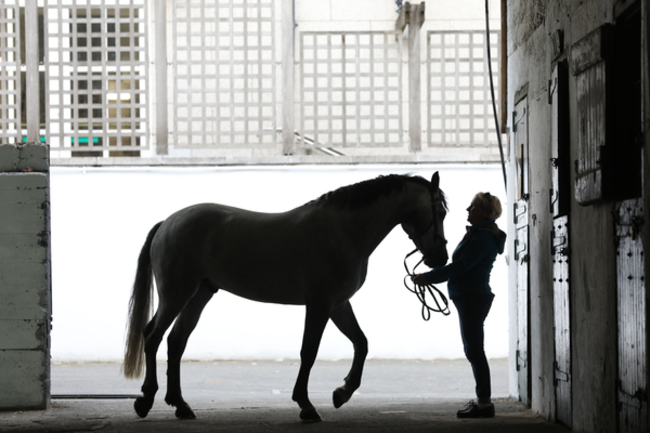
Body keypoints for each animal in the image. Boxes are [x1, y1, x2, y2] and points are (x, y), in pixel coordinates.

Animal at [123, 172, 448, 422]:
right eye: (441, 212)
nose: (440, 258)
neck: (343, 231)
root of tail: (168, 222)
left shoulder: (338, 304)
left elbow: (361, 343)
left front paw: (342, 393)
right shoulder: (319, 304)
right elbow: (309, 352)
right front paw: (307, 406)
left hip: (198, 295)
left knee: (176, 342)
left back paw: (180, 405)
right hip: (176, 295)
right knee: (152, 336)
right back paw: (145, 400)